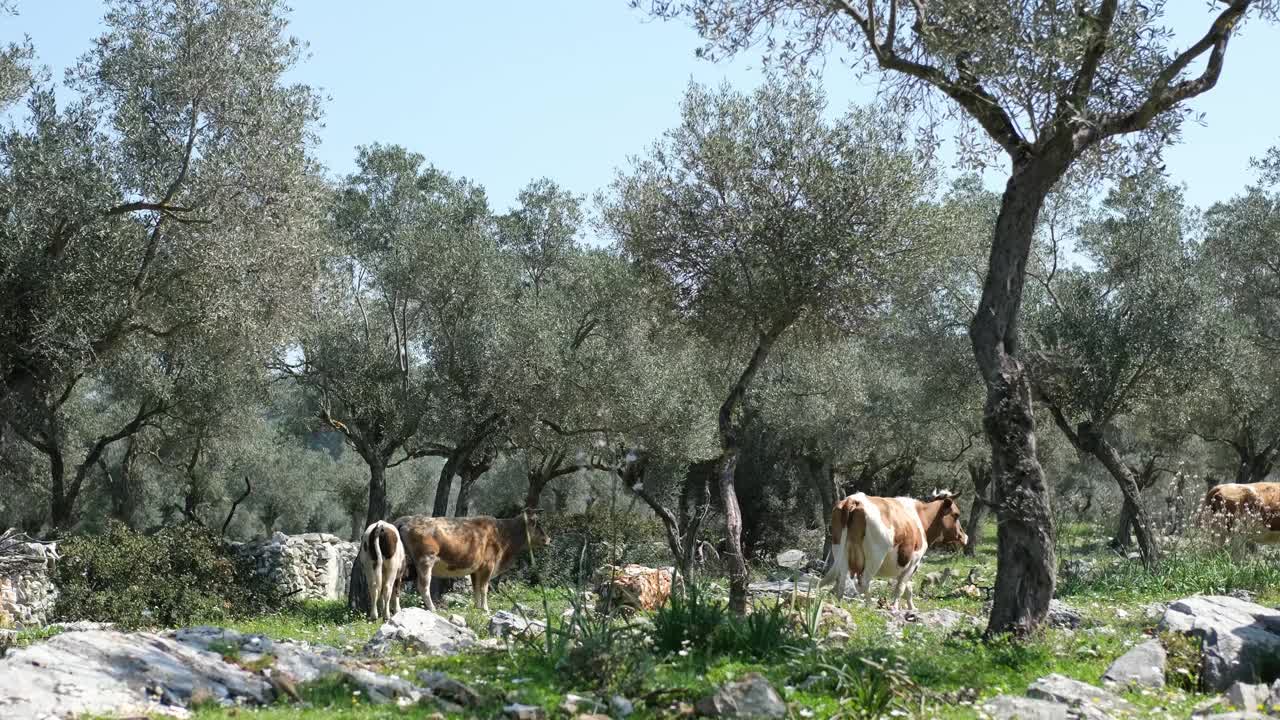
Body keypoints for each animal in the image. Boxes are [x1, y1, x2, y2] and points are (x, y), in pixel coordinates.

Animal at [391, 509, 547, 609]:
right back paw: (432, 609)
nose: (548, 539)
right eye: (538, 525)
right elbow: (484, 588)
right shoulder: (488, 566)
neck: (503, 533)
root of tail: (407, 519)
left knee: (395, 585)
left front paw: (477, 608)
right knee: (423, 587)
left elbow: (476, 588)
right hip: (425, 561)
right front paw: (485, 609)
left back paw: (396, 610)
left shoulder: (475, 569)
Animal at [819, 486, 967, 604]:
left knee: (841, 579)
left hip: (840, 550)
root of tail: (854, 500)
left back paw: (839, 602)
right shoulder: (913, 561)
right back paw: (869, 605)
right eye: (956, 514)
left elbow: (908, 589)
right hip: (875, 556)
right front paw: (894, 607)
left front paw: (911, 608)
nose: (964, 536)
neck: (921, 518)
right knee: (863, 582)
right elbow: (901, 588)